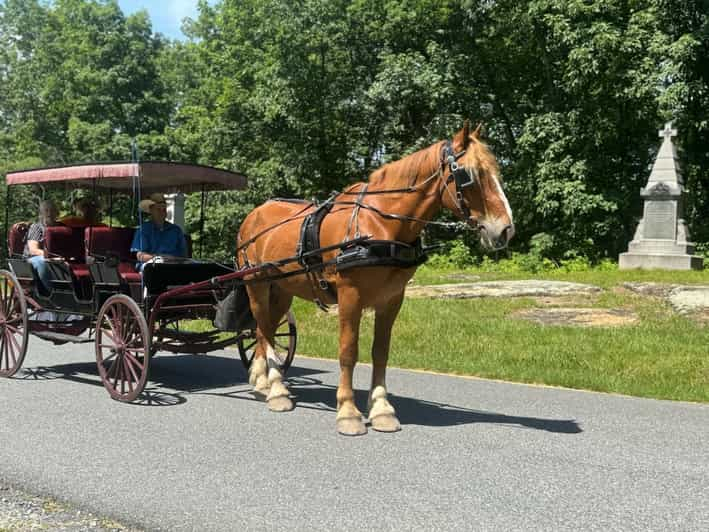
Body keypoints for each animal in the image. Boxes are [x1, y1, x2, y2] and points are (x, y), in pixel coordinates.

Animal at [238, 122, 516, 434]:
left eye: (496, 170)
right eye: (469, 174)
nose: (506, 230)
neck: (380, 225)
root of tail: (254, 214)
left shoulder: (392, 299)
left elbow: (380, 352)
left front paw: (382, 409)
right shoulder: (350, 295)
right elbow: (348, 352)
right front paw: (348, 411)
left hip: (283, 289)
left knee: (264, 330)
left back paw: (263, 382)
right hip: (256, 284)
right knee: (263, 330)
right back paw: (276, 390)